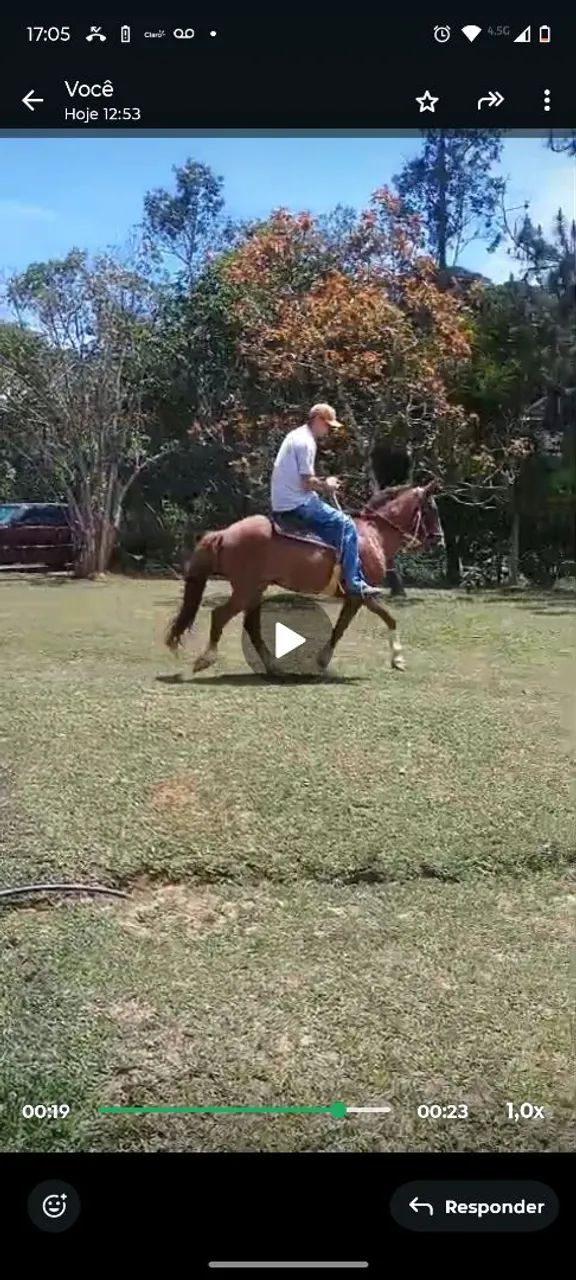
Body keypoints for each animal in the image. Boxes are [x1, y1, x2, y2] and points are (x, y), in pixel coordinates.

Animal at [166, 481, 444, 676]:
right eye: (431, 508)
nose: (439, 539)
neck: (373, 534)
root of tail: (224, 533)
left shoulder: (353, 598)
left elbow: (340, 627)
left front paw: (323, 659)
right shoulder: (361, 594)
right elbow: (385, 619)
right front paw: (398, 659)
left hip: (255, 589)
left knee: (251, 627)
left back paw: (273, 667)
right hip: (245, 590)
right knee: (220, 615)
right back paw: (207, 658)